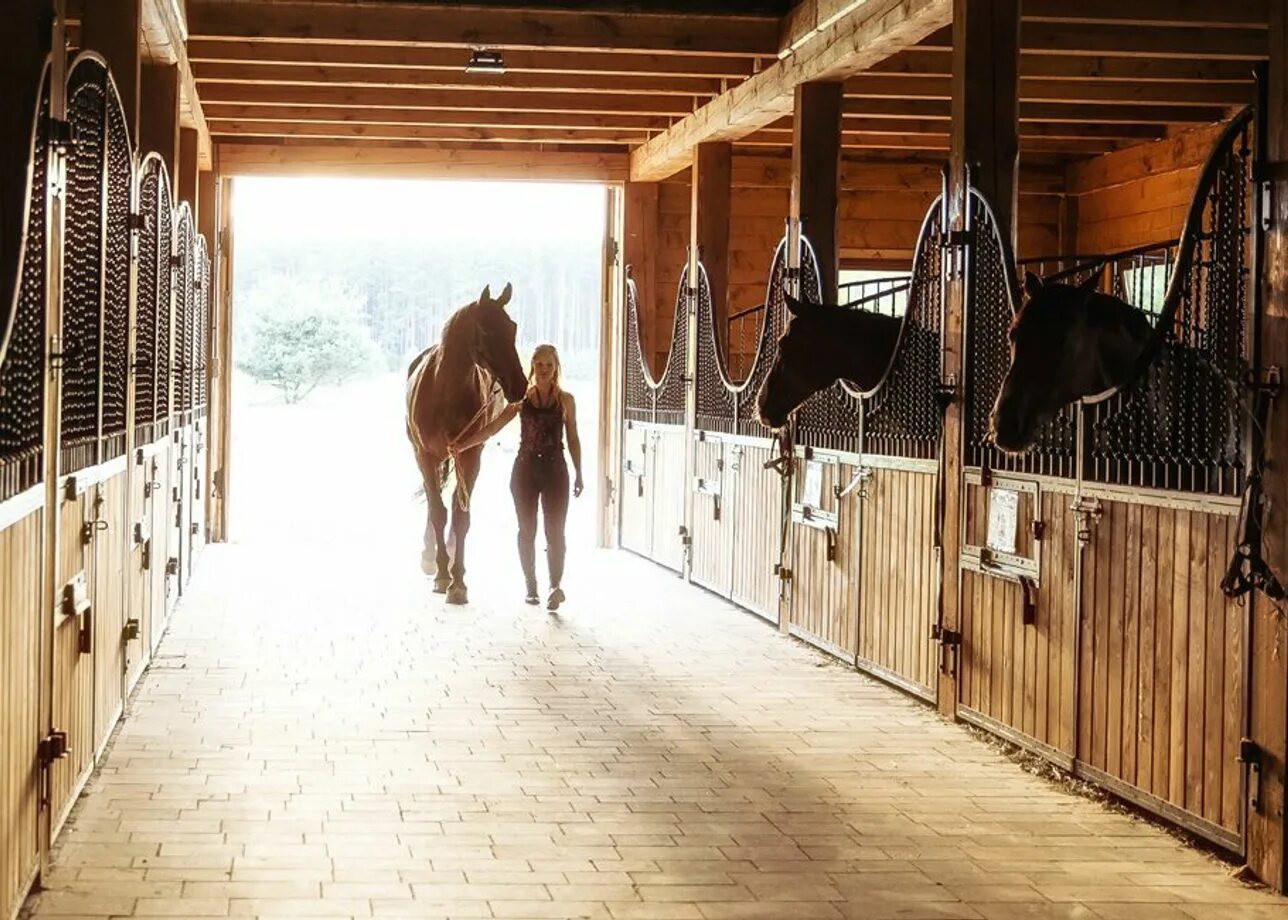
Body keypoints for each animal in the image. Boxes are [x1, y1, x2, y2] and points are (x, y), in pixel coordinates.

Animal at [401, 283, 522, 605]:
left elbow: (460, 515)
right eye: (486, 332)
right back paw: (430, 555)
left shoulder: (469, 454)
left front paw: (458, 580)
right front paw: (443, 574)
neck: (445, 391)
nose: (519, 385)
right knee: (436, 501)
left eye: (512, 328)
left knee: (456, 500)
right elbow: (438, 511)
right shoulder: (424, 455)